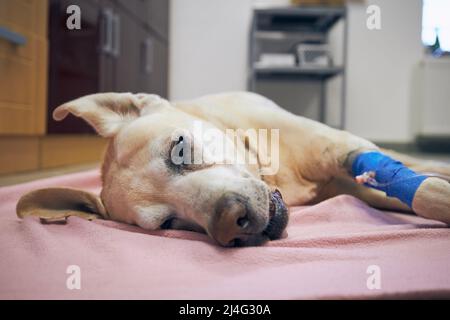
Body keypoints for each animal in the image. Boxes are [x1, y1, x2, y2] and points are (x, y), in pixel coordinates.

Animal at [16, 91, 450, 246]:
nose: (231, 219)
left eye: (179, 149)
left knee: (417, 162)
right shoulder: (355, 185)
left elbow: (424, 189)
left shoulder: (345, 150)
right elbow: (417, 191)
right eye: (169, 223)